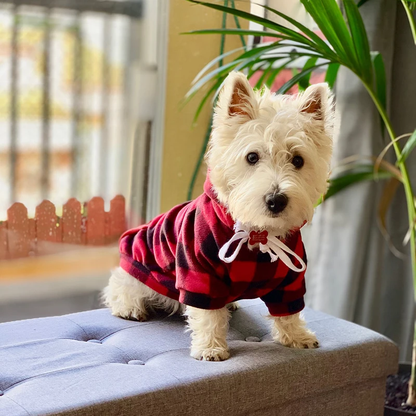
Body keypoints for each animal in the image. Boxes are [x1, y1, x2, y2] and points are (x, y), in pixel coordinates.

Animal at [104, 71, 334, 360]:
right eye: (252, 157)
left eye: (298, 160)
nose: (276, 200)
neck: (257, 233)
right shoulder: (198, 271)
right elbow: (208, 314)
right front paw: (210, 347)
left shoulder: (290, 277)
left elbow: (289, 311)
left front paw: (297, 336)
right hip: (138, 262)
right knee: (121, 285)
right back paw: (129, 307)